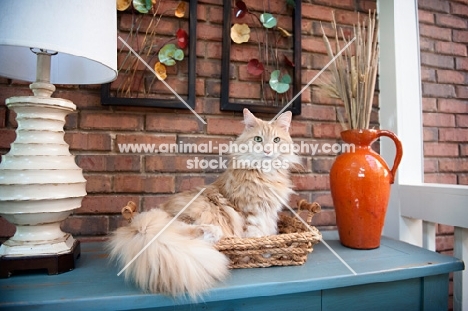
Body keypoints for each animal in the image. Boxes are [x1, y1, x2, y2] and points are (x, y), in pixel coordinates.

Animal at [107, 108, 300, 300]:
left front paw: (274, 248)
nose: (267, 150)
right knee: (182, 233)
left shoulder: (269, 215)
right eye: (258, 139)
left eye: (276, 140)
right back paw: (212, 234)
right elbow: (256, 239)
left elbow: (269, 234)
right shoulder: (250, 214)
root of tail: (139, 224)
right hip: (196, 213)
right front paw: (263, 253)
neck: (265, 175)